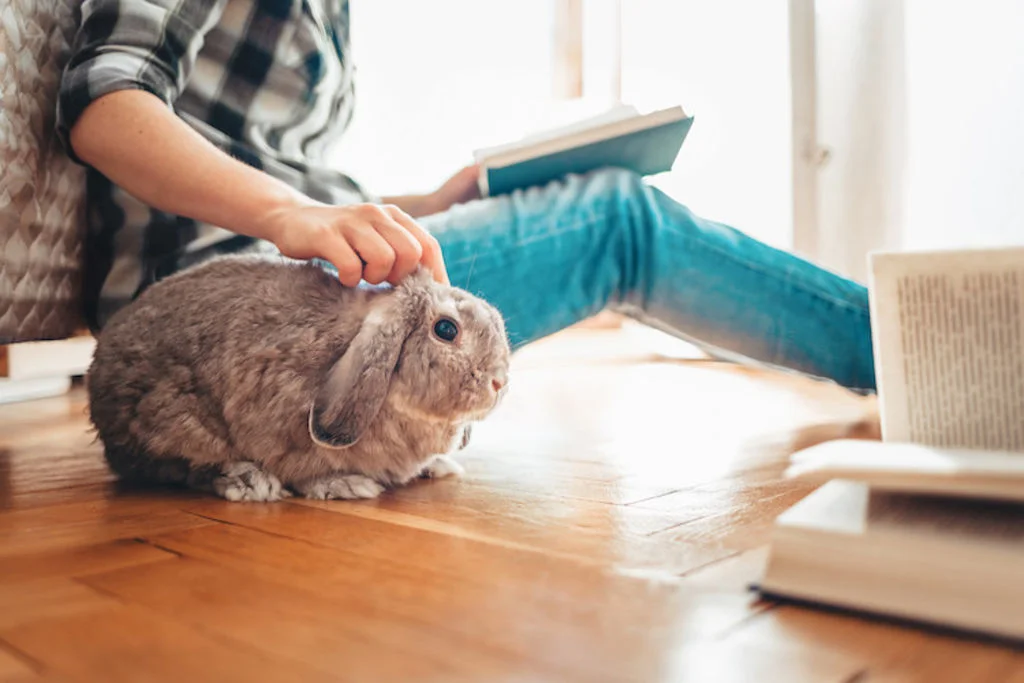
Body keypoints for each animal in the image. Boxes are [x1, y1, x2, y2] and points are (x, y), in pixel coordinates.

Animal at [85, 253, 511, 502]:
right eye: (446, 330)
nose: (499, 383)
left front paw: (438, 465)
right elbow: (309, 473)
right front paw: (346, 485)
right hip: (175, 423)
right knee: (182, 468)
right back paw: (252, 483)